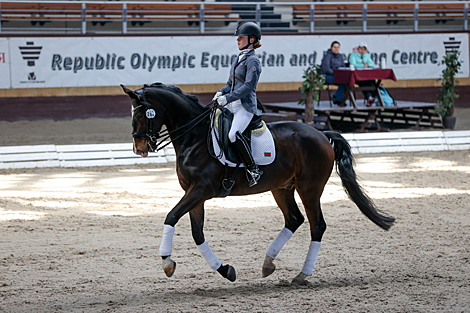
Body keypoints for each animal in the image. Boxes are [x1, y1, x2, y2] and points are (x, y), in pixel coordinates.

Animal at [120, 83, 392, 286]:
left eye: (142, 113)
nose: (139, 148)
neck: (194, 137)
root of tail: (322, 134)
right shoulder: (193, 192)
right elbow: (197, 233)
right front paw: (225, 269)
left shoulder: (201, 190)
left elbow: (171, 216)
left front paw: (167, 262)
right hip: (281, 188)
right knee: (294, 219)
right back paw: (268, 263)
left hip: (310, 188)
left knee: (317, 226)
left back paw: (301, 275)